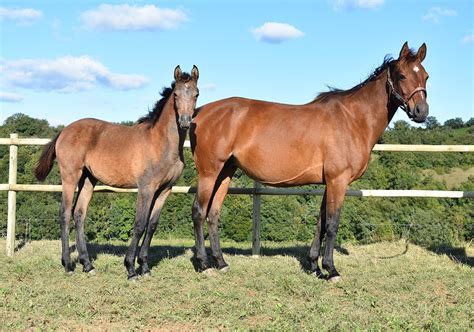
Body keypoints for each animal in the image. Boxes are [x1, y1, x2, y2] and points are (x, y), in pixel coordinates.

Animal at [36, 65, 199, 280]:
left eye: (196, 94)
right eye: (176, 94)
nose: (185, 122)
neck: (162, 144)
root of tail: (64, 131)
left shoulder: (165, 190)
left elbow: (152, 225)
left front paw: (145, 267)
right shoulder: (146, 188)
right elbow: (139, 224)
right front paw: (130, 269)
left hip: (88, 179)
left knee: (79, 215)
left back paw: (87, 264)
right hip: (70, 177)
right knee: (65, 214)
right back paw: (68, 265)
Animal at [190, 42, 430, 280]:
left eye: (425, 76)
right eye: (401, 75)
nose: (421, 112)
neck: (352, 119)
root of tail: (199, 112)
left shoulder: (330, 183)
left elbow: (321, 222)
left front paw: (314, 265)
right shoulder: (338, 181)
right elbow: (332, 224)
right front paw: (331, 269)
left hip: (225, 172)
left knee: (213, 214)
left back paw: (221, 262)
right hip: (209, 173)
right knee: (199, 211)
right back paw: (204, 264)